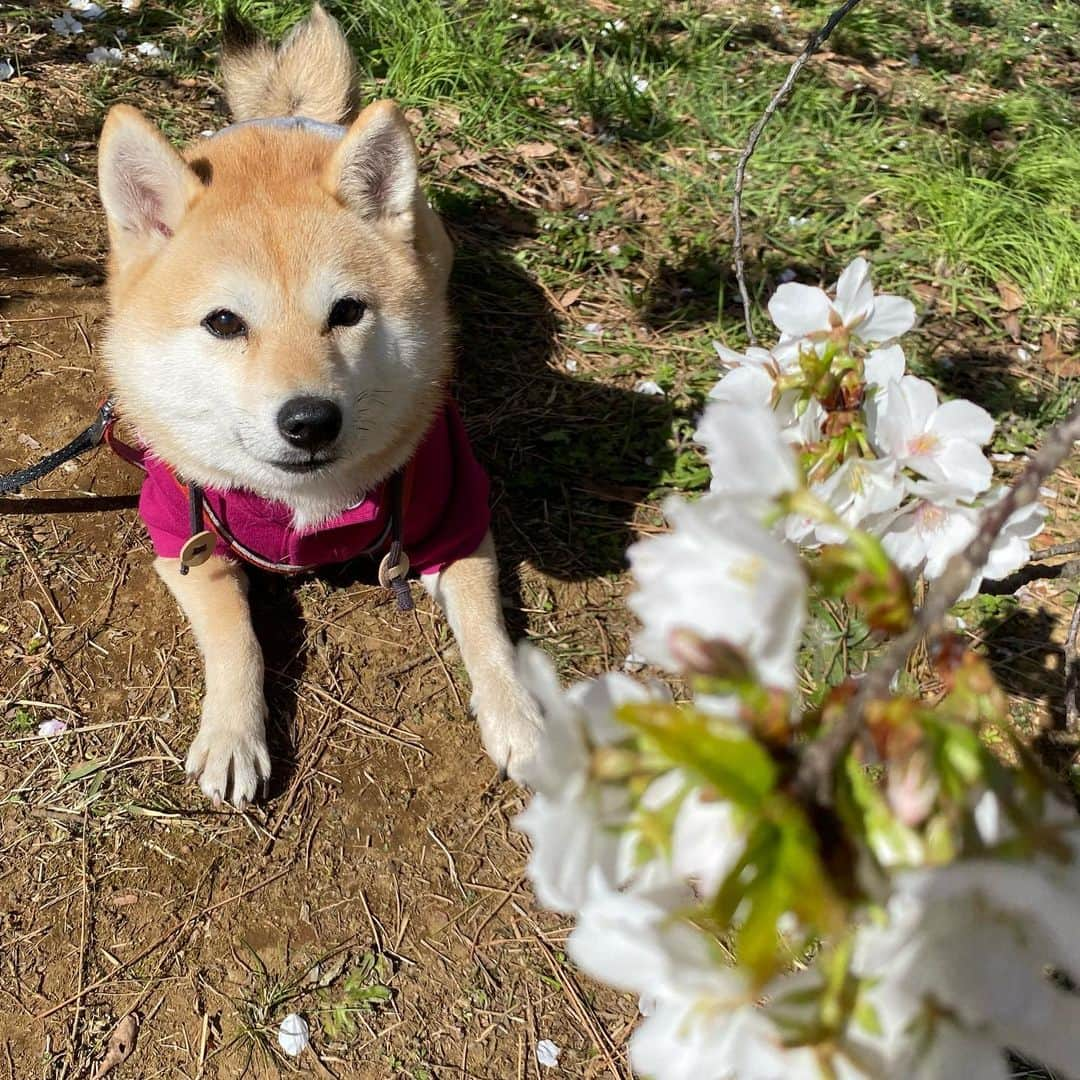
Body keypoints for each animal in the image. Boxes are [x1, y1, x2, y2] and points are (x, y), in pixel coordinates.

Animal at [98, 4, 544, 807]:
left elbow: (488, 629)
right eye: (223, 323)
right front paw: (233, 731)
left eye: (347, 312)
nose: (309, 420)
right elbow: (236, 638)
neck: (304, 501)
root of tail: (291, 116)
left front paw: (516, 716)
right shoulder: (182, 537)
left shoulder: (456, 506)